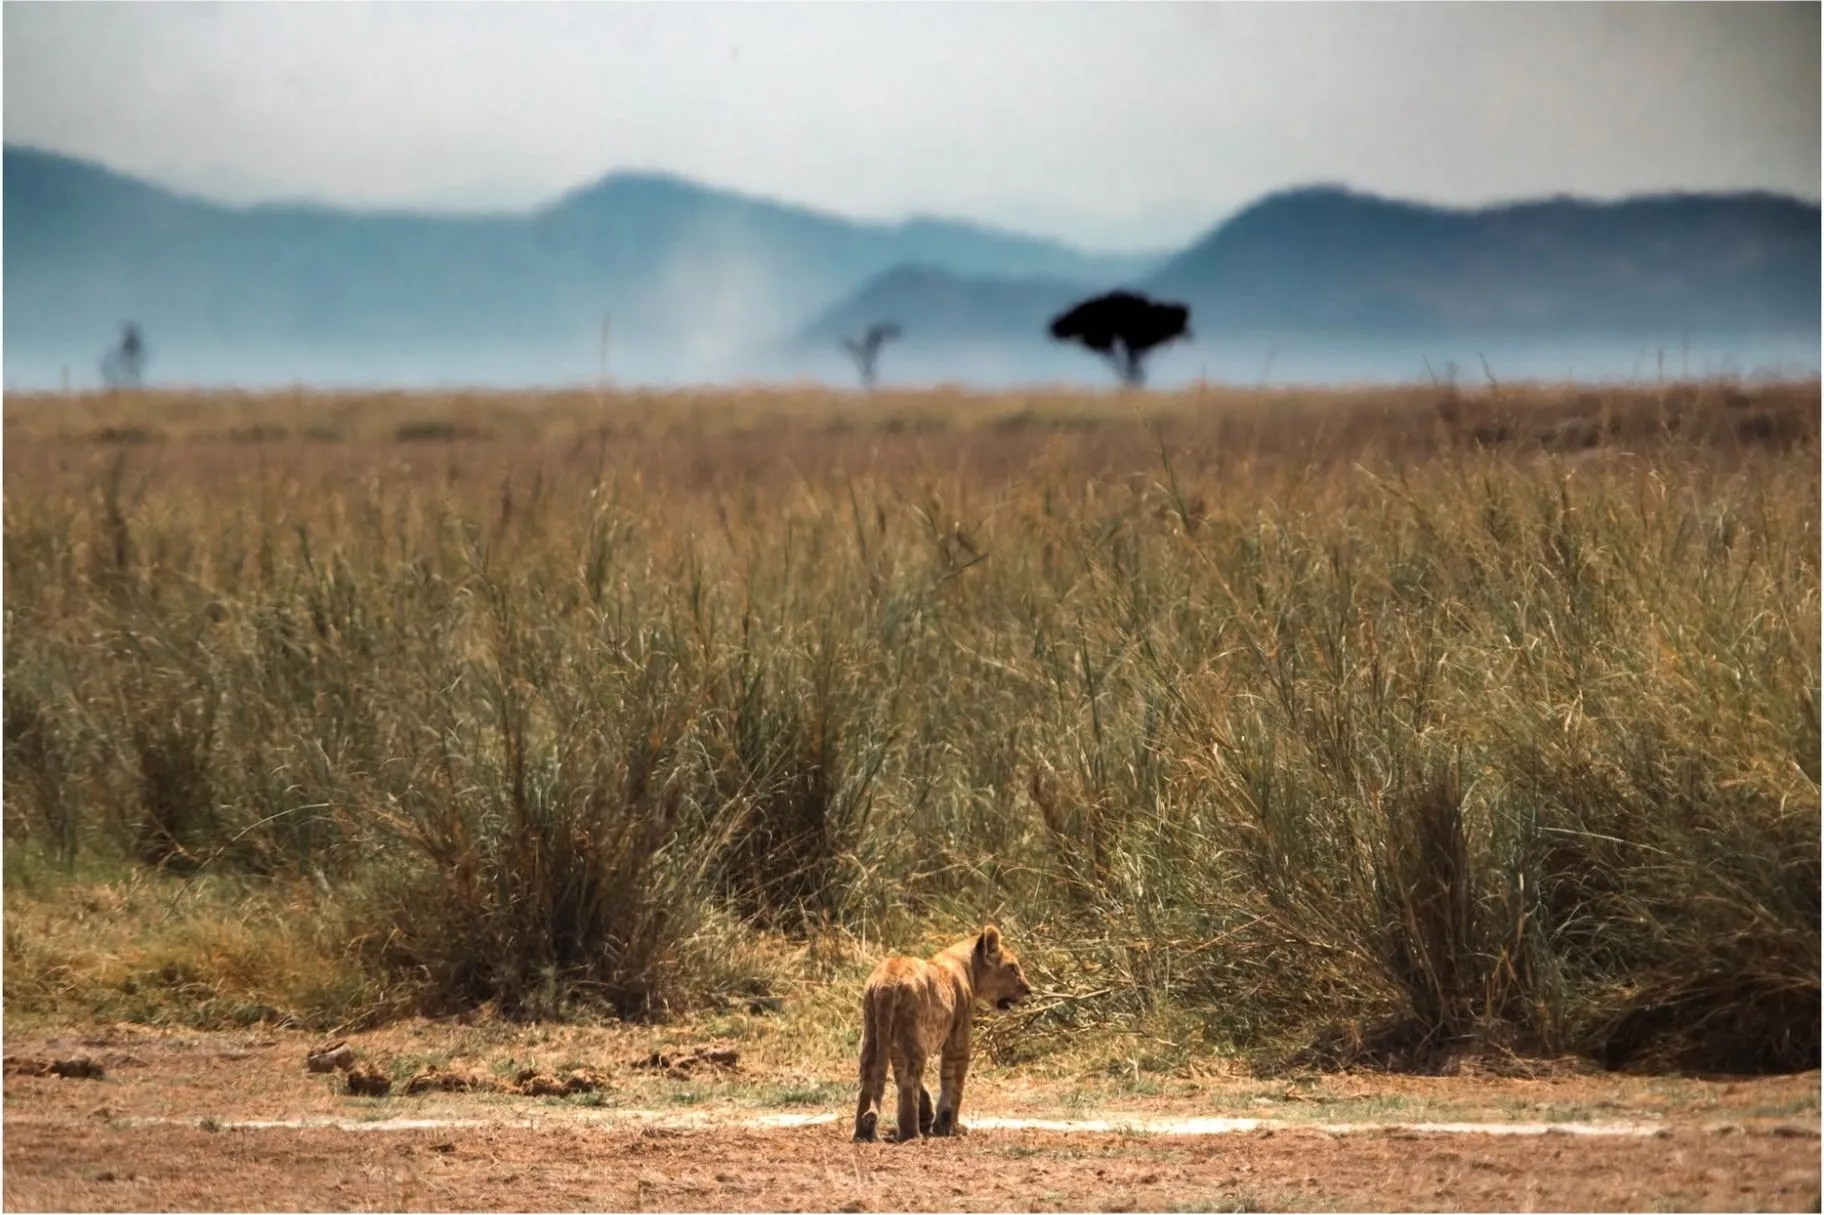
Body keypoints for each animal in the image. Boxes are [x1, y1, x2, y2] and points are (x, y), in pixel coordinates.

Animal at [852, 925, 1033, 1143]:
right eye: (1012, 968)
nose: (1029, 989)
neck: (966, 965)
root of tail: (887, 982)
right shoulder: (958, 1040)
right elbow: (954, 1083)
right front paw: (950, 1125)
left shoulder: (895, 1047)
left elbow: (904, 1077)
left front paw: (929, 1116)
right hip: (916, 1039)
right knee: (909, 1083)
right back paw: (911, 1135)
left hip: (871, 1037)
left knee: (867, 1084)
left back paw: (863, 1134)